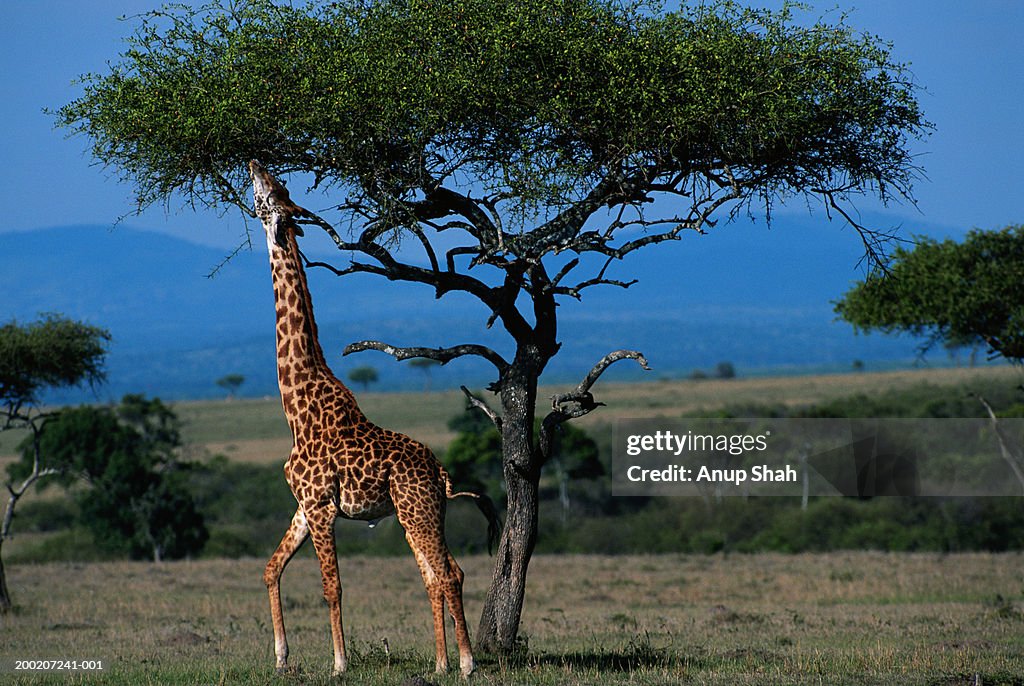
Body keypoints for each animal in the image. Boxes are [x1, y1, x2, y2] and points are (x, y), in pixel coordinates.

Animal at [251, 162, 499, 683]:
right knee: (436, 575)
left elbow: (332, 587)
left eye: (275, 190)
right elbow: (270, 568)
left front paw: (339, 663)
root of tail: (440, 472)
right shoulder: (303, 506)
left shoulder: (321, 507)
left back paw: (467, 663)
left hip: (416, 509)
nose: (254, 165)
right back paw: (441, 662)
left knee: (449, 573)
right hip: (417, 513)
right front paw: (281, 657)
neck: (297, 407)